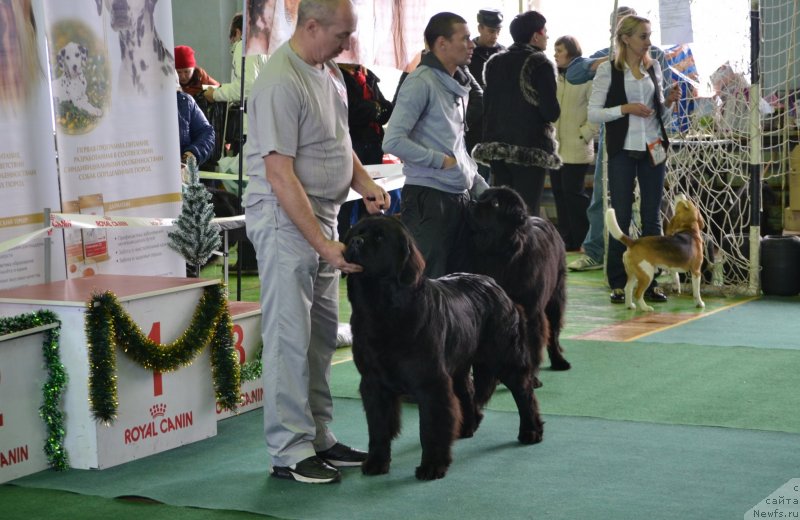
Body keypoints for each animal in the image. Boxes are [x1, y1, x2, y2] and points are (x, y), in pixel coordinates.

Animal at [344, 214, 544, 480]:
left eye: (379, 237)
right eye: (357, 232)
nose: (355, 242)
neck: (381, 308)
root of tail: (496, 285)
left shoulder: (431, 382)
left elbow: (430, 427)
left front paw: (432, 466)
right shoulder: (373, 382)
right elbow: (378, 427)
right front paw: (376, 462)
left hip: (505, 357)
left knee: (524, 393)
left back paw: (531, 431)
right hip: (459, 364)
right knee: (467, 393)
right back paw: (467, 428)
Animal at [466, 187, 572, 378]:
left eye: (496, 203)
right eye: (483, 196)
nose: (472, 202)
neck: (504, 256)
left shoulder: (531, 311)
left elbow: (532, 345)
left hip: (555, 299)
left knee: (553, 333)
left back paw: (559, 361)